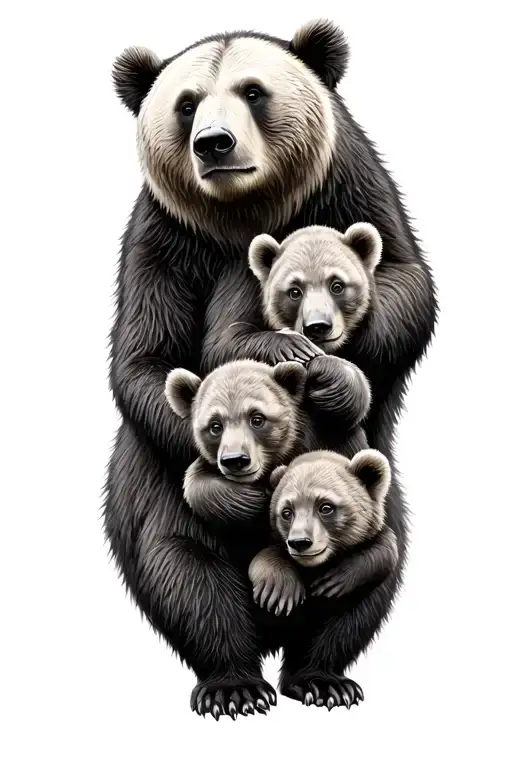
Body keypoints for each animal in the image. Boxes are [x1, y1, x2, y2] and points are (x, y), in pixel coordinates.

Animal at [249, 450, 398, 630]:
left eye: (325, 507)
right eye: (286, 512)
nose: (300, 542)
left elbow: (385, 547)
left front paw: (333, 582)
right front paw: (279, 590)